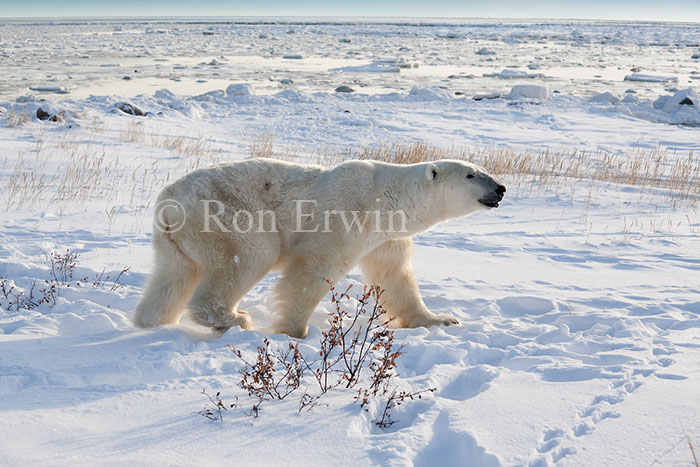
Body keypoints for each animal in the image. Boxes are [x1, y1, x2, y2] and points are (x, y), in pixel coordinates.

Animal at [132, 158, 505, 338]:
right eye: (471, 175)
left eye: (484, 170)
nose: (500, 188)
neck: (387, 196)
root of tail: (168, 204)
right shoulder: (348, 213)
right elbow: (314, 269)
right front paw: (294, 331)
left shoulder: (386, 236)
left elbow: (395, 275)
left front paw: (440, 319)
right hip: (225, 215)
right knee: (249, 255)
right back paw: (234, 318)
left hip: (175, 239)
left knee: (173, 276)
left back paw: (151, 321)